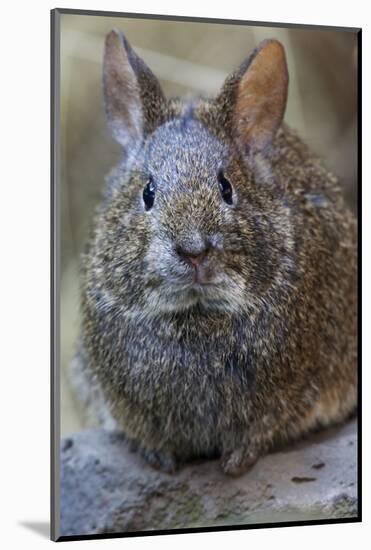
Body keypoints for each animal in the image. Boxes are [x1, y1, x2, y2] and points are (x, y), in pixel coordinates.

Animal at [70, 30, 358, 476]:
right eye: (148, 192)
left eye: (226, 188)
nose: (193, 251)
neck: (198, 314)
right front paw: (161, 458)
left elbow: (264, 429)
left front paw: (237, 462)